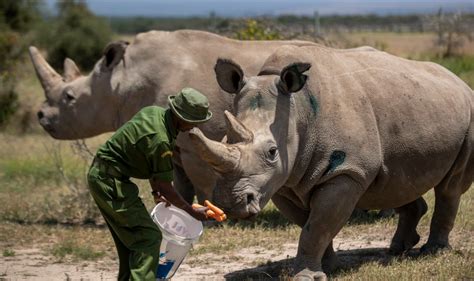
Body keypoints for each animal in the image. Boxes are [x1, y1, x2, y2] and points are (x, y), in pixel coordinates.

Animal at [28, 29, 314, 201]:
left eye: (69, 98)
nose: (40, 115)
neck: (120, 81)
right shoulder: (175, 143)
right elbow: (180, 181)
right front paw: (178, 206)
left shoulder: (196, 143)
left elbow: (201, 180)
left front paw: (214, 212)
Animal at [189, 44, 474, 278]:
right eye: (226, 139)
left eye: (272, 152)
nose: (230, 203)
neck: (298, 110)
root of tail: (458, 81)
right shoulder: (284, 180)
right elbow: (310, 224)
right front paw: (328, 268)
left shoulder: (346, 171)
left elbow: (317, 226)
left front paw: (306, 276)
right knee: (396, 180)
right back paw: (397, 250)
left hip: (469, 112)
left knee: (449, 187)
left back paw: (433, 251)